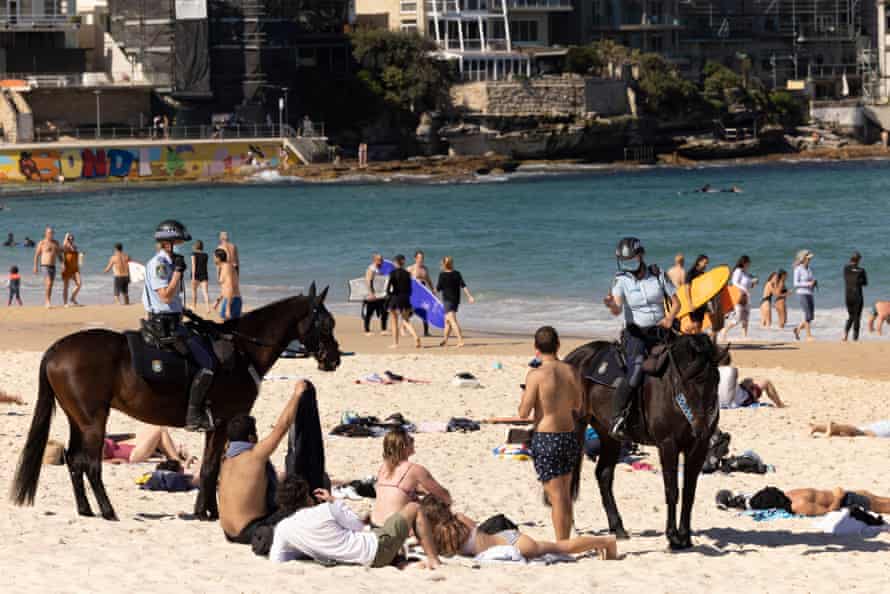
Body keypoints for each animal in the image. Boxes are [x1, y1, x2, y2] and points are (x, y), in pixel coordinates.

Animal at [10, 282, 340, 520]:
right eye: (326, 323)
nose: (333, 359)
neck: (242, 349)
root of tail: (56, 349)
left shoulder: (215, 427)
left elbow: (209, 468)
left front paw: (204, 510)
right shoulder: (225, 422)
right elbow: (211, 469)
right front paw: (208, 514)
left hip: (78, 419)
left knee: (74, 461)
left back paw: (86, 510)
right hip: (94, 421)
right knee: (90, 464)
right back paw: (107, 511)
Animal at [564, 332, 724, 552]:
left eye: (716, 380)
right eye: (690, 381)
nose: (701, 428)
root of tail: (573, 357)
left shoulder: (697, 448)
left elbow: (689, 492)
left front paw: (685, 537)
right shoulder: (668, 445)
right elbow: (672, 490)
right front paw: (673, 537)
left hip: (608, 435)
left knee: (603, 474)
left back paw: (618, 528)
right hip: (576, 427)